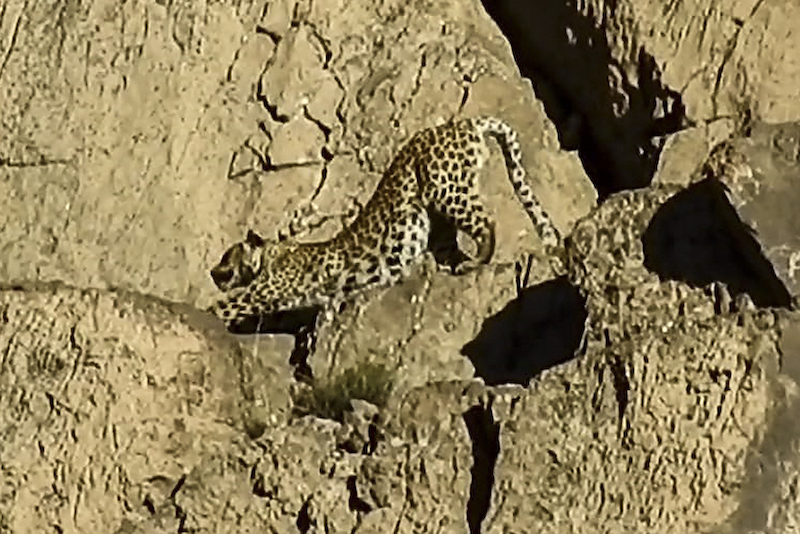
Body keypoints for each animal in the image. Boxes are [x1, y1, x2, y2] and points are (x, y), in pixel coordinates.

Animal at [207, 116, 562, 331]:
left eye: (226, 256)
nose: (212, 272)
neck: (271, 256)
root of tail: (465, 122)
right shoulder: (324, 299)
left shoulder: (260, 292)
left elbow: (224, 306)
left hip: (444, 188)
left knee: (487, 222)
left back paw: (474, 263)